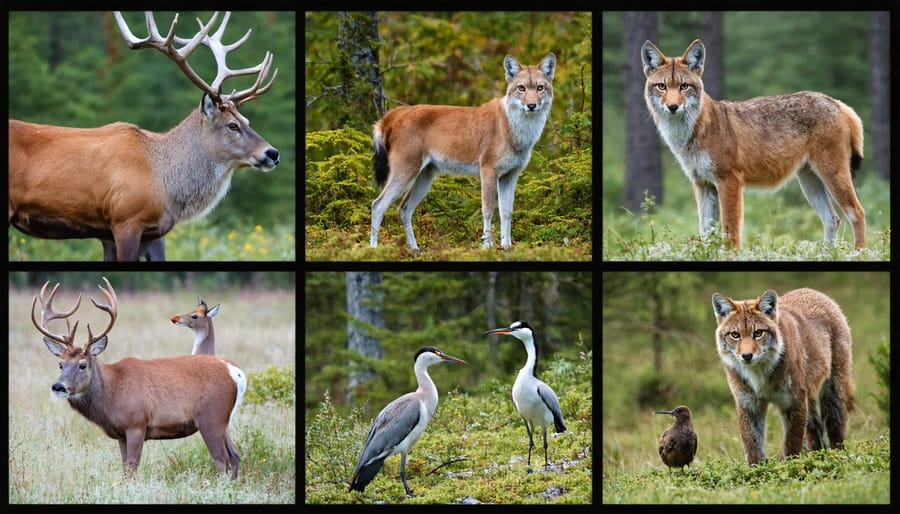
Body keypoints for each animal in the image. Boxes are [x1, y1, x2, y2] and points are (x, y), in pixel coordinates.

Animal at [7, 11, 278, 260]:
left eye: (247, 121)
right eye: (232, 125)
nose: (272, 153)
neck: (165, 182)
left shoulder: (147, 233)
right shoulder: (125, 219)